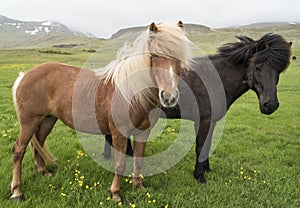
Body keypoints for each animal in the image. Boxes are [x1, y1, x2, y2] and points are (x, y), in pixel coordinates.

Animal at [10, 21, 192, 202]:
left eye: (179, 58)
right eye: (153, 56)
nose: (169, 97)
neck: (131, 93)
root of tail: (25, 75)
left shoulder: (143, 133)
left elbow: (138, 161)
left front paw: (138, 187)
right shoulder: (119, 134)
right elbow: (120, 164)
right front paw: (115, 193)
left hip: (47, 119)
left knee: (38, 144)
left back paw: (43, 172)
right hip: (29, 122)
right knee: (19, 149)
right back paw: (17, 191)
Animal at [103, 33, 290, 184]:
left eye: (279, 70)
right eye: (257, 67)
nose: (270, 105)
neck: (216, 77)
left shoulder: (212, 121)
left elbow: (207, 146)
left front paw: (206, 168)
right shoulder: (203, 121)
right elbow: (200, 147)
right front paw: (199, 176)